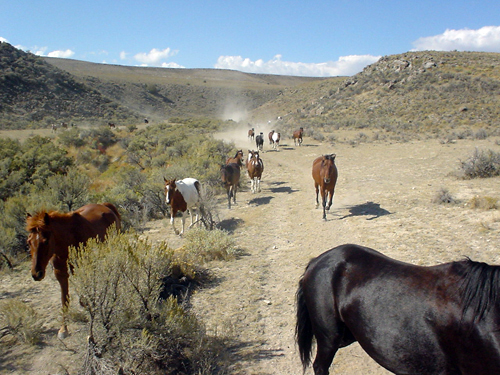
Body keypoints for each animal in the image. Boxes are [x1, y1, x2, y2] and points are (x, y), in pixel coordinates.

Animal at [26, 204, 121, 340]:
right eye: (29, 242)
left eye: (45, 241)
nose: (36, 274)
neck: (67, 240)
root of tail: (105, 205)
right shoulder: (60, 272)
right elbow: (64, 300)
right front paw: (63, 329)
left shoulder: (81, 265)